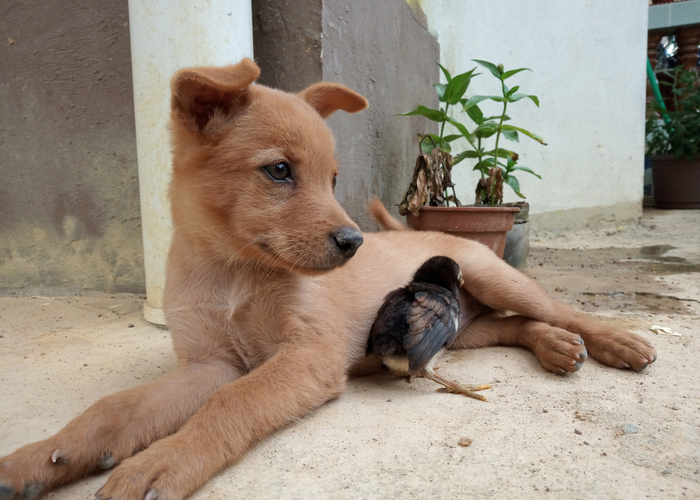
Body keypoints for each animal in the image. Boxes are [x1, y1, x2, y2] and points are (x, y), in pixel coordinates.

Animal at [0, 58, 656, 500]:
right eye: (279, 171)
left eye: (333, 178)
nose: (353, 242)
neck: (233, 271)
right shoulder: (208, 364)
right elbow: (114, 408)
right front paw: (40, 457)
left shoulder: (304, 357)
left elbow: (231, 404)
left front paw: (161, 462)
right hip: (459, 325)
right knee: (512, 326)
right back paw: (554, 347)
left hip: (493, 276)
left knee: (553, 307)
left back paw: (615, 341)